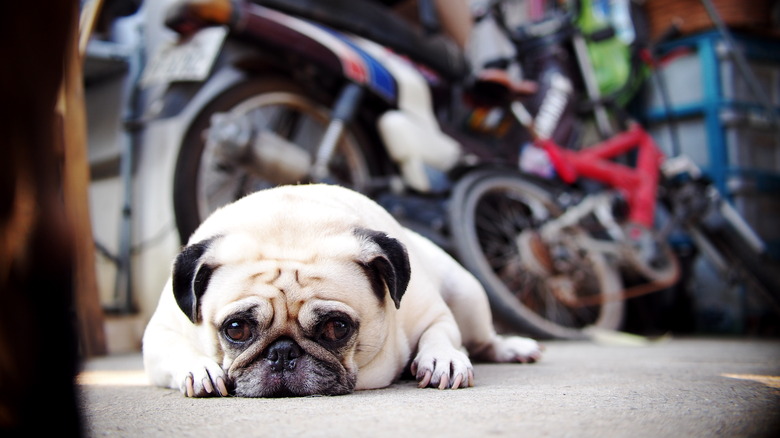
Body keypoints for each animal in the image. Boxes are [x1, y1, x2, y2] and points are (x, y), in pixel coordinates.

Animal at [143, 182, 540, 396]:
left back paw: (511, 348)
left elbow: (439, 335)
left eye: (337, 328)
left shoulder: (434, 313)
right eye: (236, 329)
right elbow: (176, 349)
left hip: (467, 294)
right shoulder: (160, 333)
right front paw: (200, 369)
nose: (282, 353)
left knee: (483, 339)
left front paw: (442, 359)